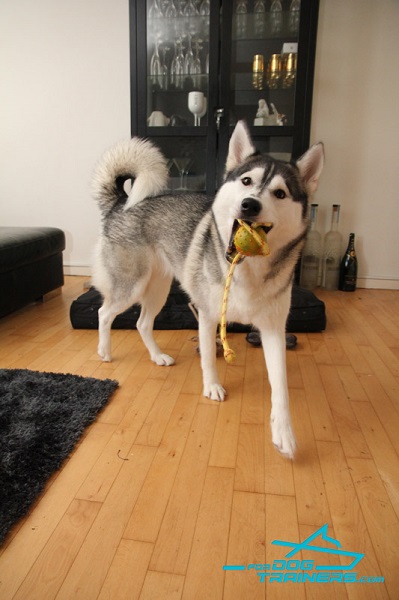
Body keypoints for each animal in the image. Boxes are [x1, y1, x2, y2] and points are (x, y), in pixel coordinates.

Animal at [93, 123, 324, 460]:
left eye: (280, 193)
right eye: (246, 181)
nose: (249, 204)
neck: (245, 268)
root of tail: (122, 203)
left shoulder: (273, 329)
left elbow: (280, 386)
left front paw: (284, 433)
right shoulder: (207, 314)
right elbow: (208, 359)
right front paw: (212, 387)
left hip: (158, 290)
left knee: (141, 323)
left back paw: (157, 356)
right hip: (131, 286)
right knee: (104, 312)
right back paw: (105, 351)